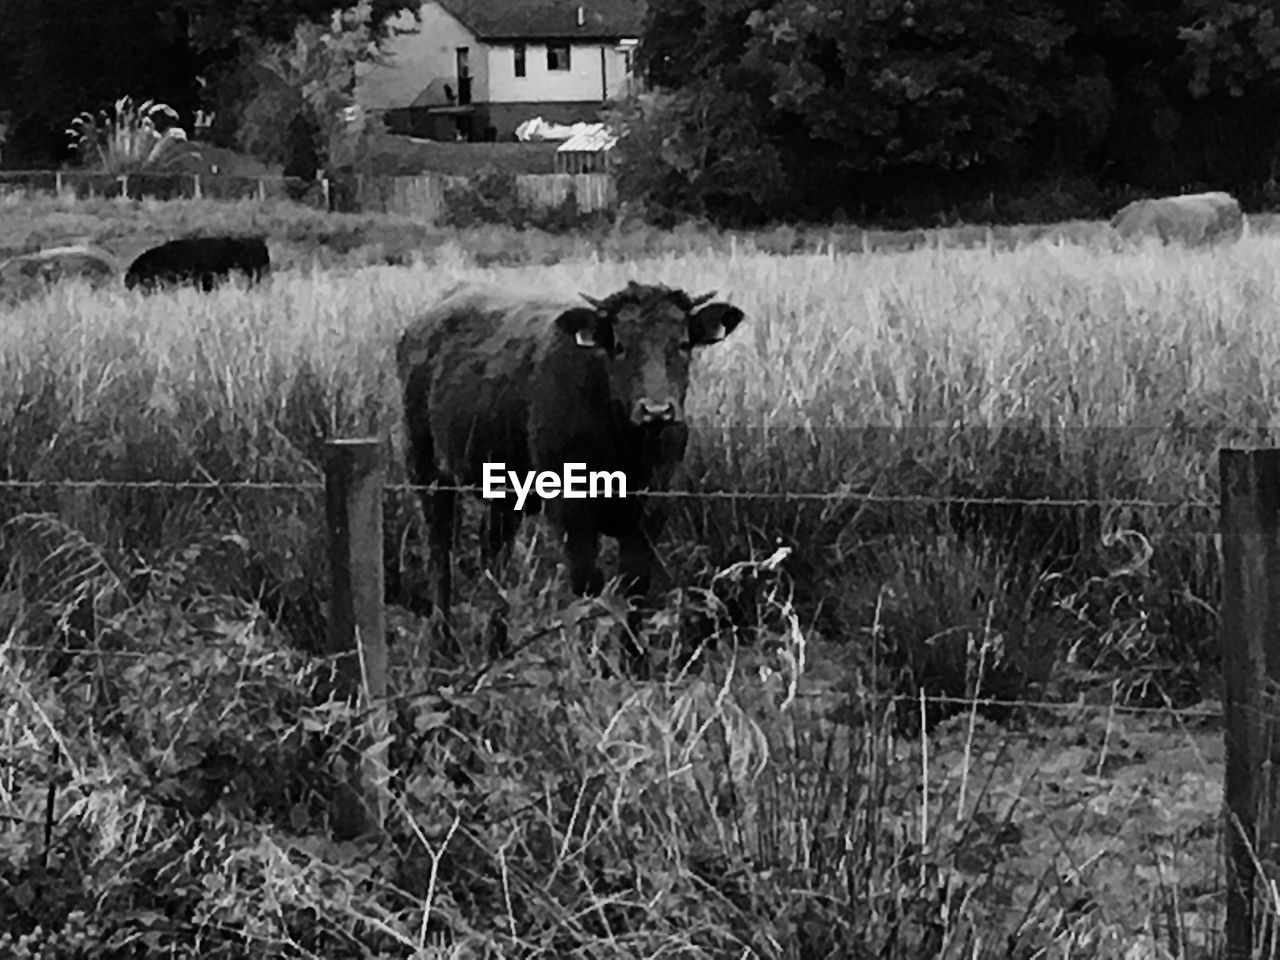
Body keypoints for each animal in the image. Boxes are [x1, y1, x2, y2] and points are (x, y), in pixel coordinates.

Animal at [394, 280, 747, 632]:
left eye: (683, 344)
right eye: (619, 346)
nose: (656, 410)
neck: (628, 452)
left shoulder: (652, 509)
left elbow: (633, 594)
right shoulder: (570, 510)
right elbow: (588, 588)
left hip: (502, 489)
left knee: (494, 557)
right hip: (426, 468)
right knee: (440, 555)